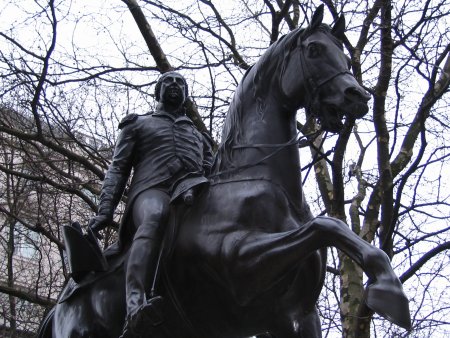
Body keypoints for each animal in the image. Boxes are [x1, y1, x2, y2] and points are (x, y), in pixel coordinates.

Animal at [38, 5, 412, 338]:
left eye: (346, 58)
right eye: (315, 49)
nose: (357, 96)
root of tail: (58, 308)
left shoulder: (294, 318)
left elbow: (332, 227)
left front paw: (387, 284)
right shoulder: (244, 268)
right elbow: (324, 225)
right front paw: (389, 290)